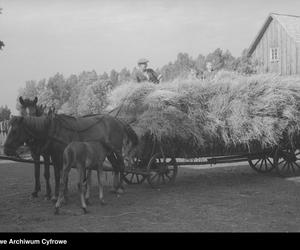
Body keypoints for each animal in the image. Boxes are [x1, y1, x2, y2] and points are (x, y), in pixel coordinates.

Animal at [3, 112, 138, 200]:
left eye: (14, 131)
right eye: (7, 129)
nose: (5, 150)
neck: (52, 130)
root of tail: (118, 120)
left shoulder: (56, 155)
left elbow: (59, 174)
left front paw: (58, 194)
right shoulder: (51, 155)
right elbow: (56, 174)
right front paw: (57, 193)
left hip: (117, 150)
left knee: (121, 165)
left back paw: (120, 188)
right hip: (109, 152)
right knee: (115, 166)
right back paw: (114, 188)